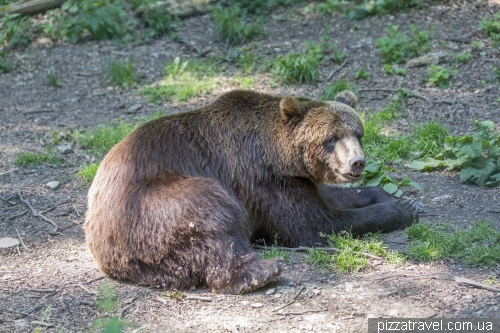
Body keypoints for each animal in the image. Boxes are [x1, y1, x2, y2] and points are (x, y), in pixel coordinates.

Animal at [85, 89, 422, 294]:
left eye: (358, 133)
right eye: (331, 138)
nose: (357, 162)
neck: (279, 155)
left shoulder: (295, 181)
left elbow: (329, 198)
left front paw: (391, 196)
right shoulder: (261, 181)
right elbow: (313, 224)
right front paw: (400, 211)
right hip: (153, 201)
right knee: (212, 216)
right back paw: (262, 271)